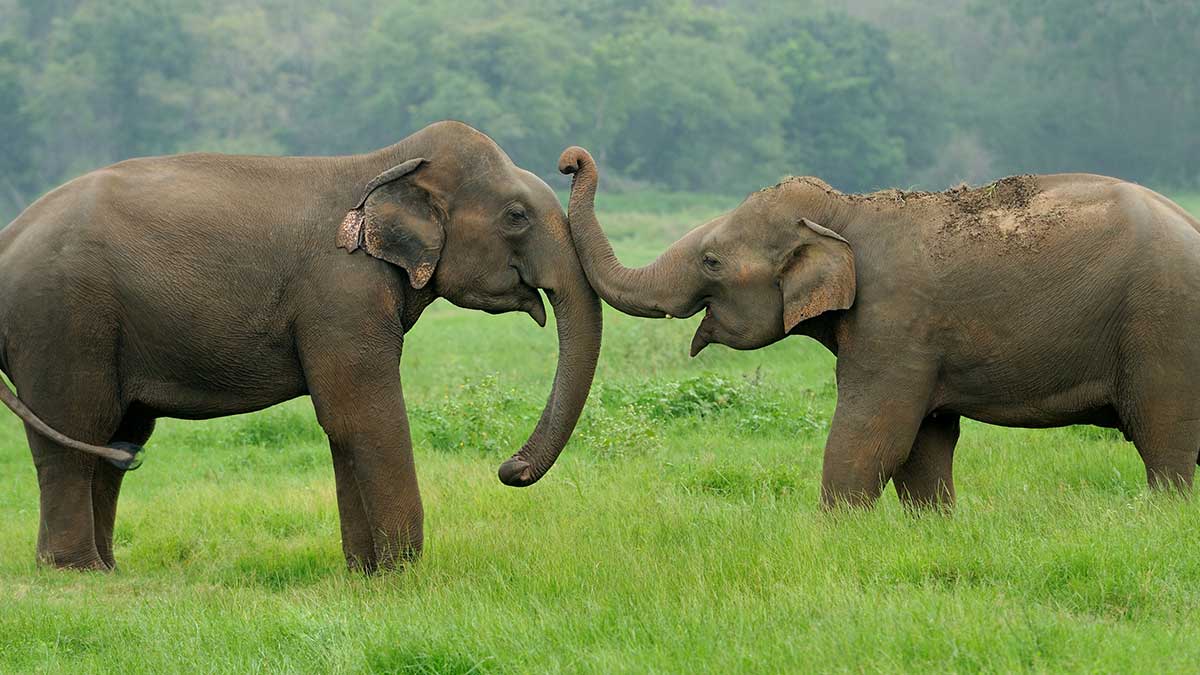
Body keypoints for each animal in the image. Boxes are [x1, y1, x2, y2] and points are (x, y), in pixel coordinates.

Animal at [0, 120, 600, 566]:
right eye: (516, 216)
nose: (509, 470)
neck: (384, 163)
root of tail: (9, 237)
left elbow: (343, 424)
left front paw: (364, 574)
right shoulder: (339, 292)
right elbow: (363, 415)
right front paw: (403, 573)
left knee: (119, 437)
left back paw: (106, 568)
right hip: (60, 322)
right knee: (78, 430)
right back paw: (74, 571)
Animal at [559, 144, 1200, 506]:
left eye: (712, 261)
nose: (569, 159)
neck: (846, 211)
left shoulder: (896, 322)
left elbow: (874, 433)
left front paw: (830, 534)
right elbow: (925, 444)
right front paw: (935, 529)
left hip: (1163, 329)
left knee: (1165, 443)